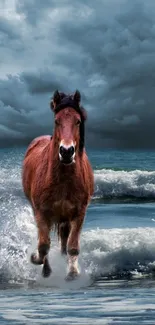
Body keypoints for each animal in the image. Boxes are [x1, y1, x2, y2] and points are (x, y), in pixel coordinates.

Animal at [22, 90, 94, 280]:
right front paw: (35, 258)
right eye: (56, 120)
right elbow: (43, 245)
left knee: (64, 240)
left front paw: (73, 272)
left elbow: (72, 246)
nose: (67, 151)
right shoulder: (41, 213)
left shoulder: (79, 213)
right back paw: (46, 270)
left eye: (78, 121)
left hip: (64, 218)